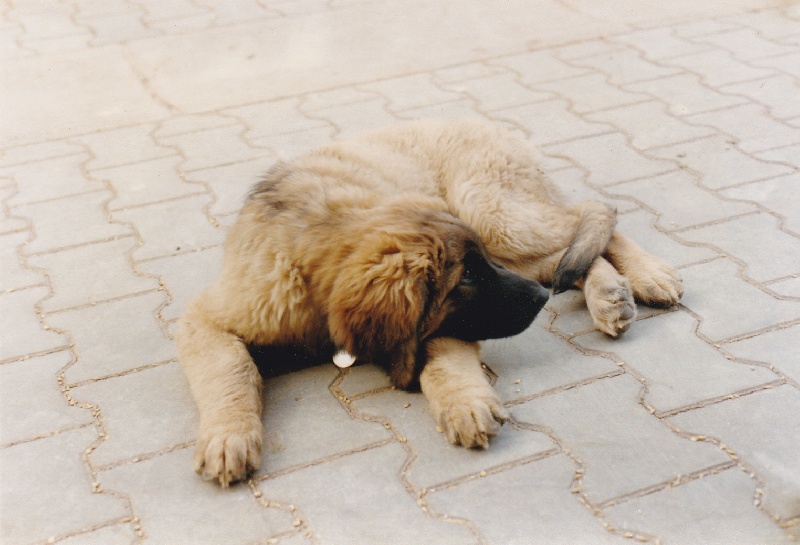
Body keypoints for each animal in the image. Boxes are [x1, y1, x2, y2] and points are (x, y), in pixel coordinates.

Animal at [178, 120, 684, 484]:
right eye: (470, 276)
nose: (541, 302)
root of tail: (494, 126)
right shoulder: (209, 318)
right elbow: (231, 369)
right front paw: (228, 437)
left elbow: (441, 351)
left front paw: (464, 400)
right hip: (504, 236)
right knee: (569, 256)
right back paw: (609, 294)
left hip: (491, 212)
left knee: (591, 215)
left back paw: (645, 276)